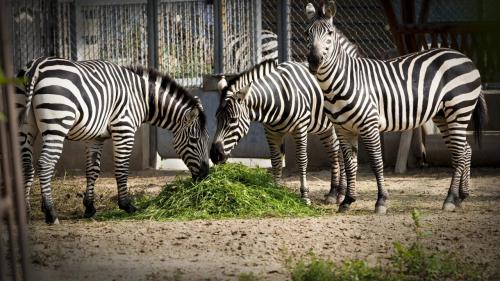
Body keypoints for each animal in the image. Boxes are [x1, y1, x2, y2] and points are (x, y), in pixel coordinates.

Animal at [16, 57, 210, 223]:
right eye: (194, 140)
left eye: (206, 139)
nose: (205, 175)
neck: (142, 98)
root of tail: (35, 66)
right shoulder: (124, 129)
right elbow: (122, 169)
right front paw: (127, 205)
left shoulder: (95, 137)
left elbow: (92, 170)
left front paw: (89, 208)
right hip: (56, 123)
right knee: (45, 163)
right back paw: (51, 213)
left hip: (25, 127)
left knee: (27, 166)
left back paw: (27, 213)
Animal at [211, 59, 348, 203]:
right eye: (216, 118)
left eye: (233, 120)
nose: (214, 155)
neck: (275, 98)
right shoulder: (271, 132)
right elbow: (276, 161)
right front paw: (275, 190)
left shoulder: (300, 127)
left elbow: (302, 159)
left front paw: (304, 195)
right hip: (325, 128)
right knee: (334, 153)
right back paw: (333, 193)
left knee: (342, 154)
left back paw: (341, 193)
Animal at [304, 1, 488, 213]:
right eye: (306, 34)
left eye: (330, 33)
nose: (314, 61)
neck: (345, 81)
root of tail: (464, 57)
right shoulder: (343, 129)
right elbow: (350, 165)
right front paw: (347, 200)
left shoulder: (369, 125)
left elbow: (376, 163)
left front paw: (381, 201)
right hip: (443, 115)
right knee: (465, 150)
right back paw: (461, 196)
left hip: (459, 109)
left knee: (459, 153)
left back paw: (450, 199)